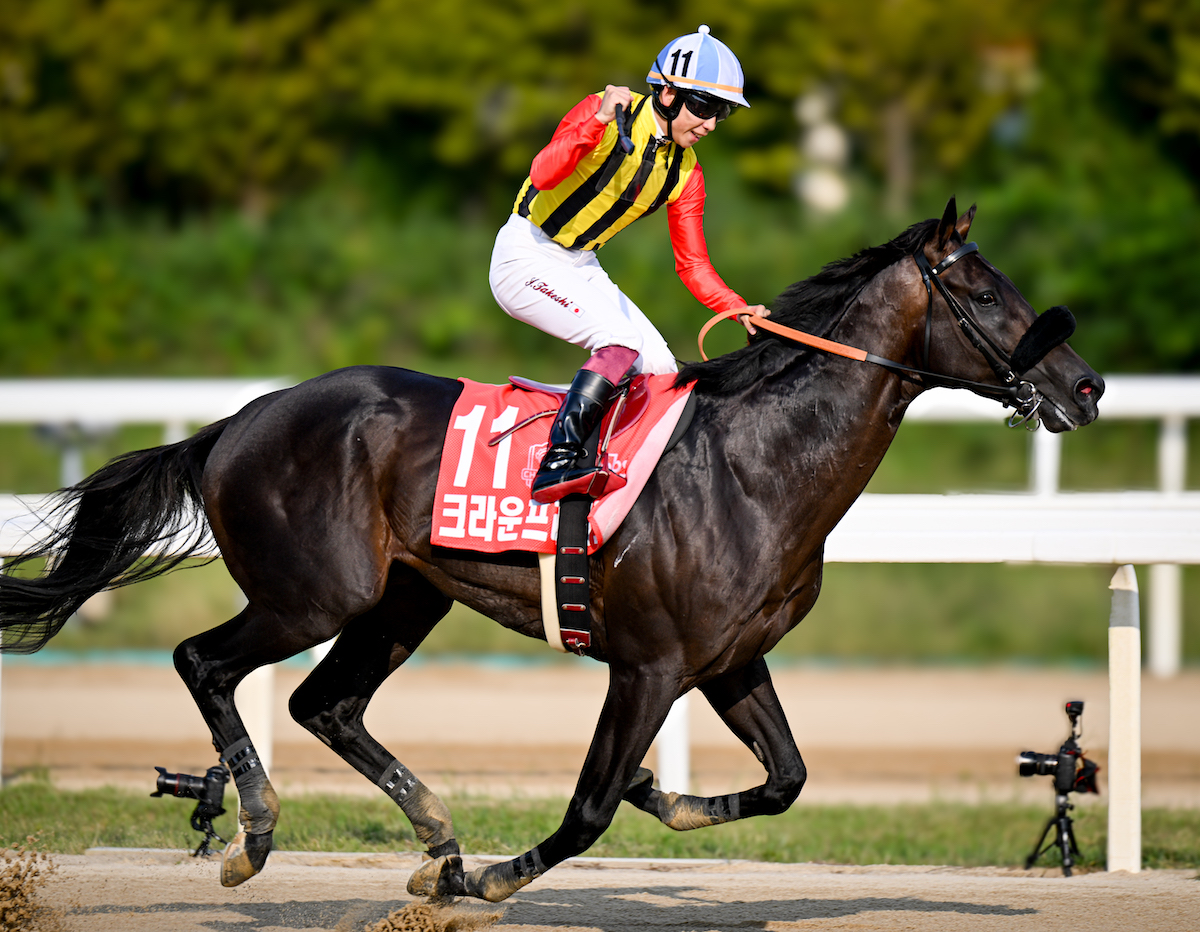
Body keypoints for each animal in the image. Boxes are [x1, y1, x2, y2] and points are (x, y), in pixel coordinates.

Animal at [0, 197, 1099, 902]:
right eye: (987, 294)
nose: (1086, 386)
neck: (759, 461)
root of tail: (238, 419)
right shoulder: (649, 664)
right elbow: (587, 810)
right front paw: (492, 876)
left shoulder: (730, 658)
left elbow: (784, 778)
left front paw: (659, 790)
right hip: (312, 593)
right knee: (205, 660)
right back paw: (257, 835)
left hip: (403, 598)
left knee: (324, 703)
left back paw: (434, 837)